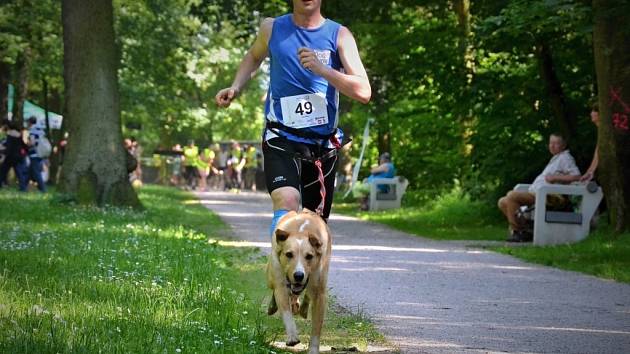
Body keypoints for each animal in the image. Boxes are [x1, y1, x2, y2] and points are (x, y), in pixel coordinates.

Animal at [266, 209, 334, 352]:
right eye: (289, 254)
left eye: (309, 256)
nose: (298, 275)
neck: (301, 232)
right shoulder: (281, 285)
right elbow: (286, 312)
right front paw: (292, 336)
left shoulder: (320, 293)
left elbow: (316, 328)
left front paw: (313, 350)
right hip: (270, 276)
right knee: (275, 290)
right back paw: (273, 306)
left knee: (306, 295)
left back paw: (301, 308)